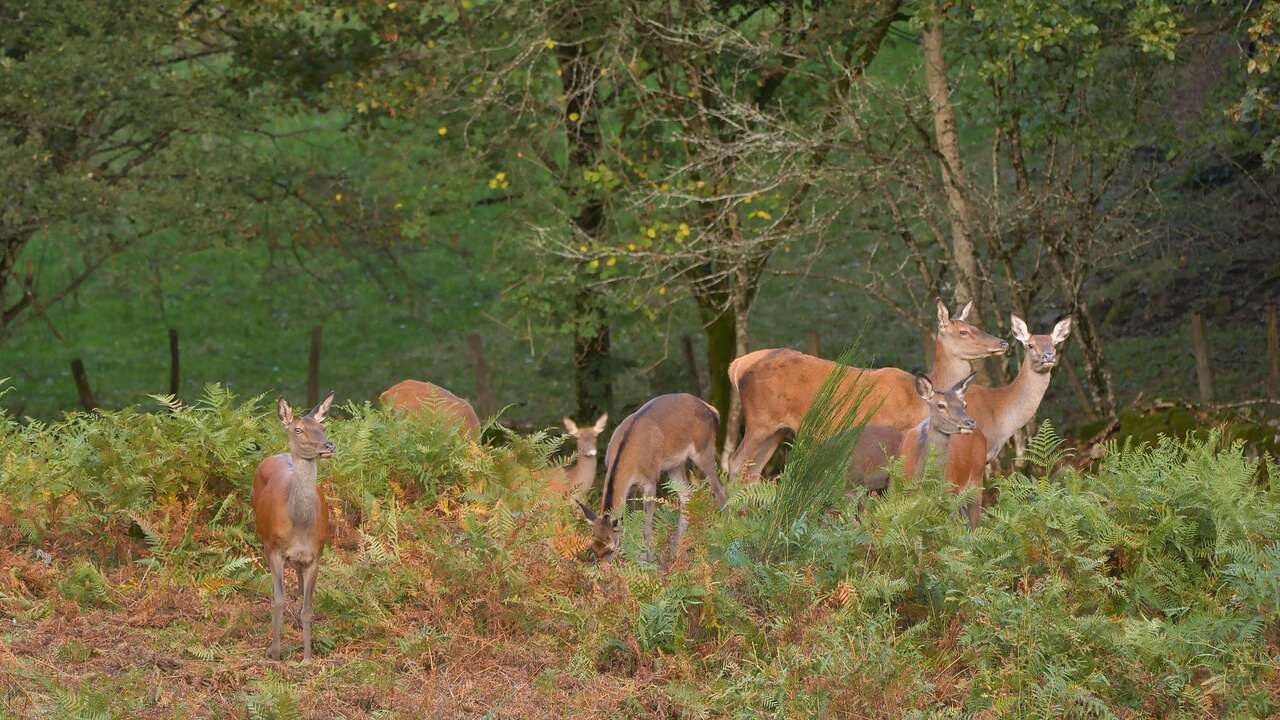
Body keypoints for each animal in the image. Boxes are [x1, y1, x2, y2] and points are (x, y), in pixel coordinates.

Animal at [249, 389, 335, 661]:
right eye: (298, 429)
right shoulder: (274, 548)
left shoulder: (316, 553)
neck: (299, 526)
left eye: (323, 426)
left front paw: (307, 657)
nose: (329, 446)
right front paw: (275, 652)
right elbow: (278, 599)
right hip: (263, 538)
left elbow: (308, 607)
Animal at [578, 392, 727, 561]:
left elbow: (646, 525)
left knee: (719, 489)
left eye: (609, 548)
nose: (603, 566)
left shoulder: (650, 480)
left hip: (704, 450)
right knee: (687, 495)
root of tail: (713, 410)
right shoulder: (631, 487)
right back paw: (674, 549)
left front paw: (649, 559)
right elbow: (629, 519)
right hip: (675, 465)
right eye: (593, 548)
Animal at [727, 297, 1003, 481]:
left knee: (752, 470)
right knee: (735, 462)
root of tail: (736, 366)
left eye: (978, 327)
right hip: (760, 420)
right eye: (964, 331)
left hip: (777, 430)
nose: (1003, 342)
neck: (917, 402)